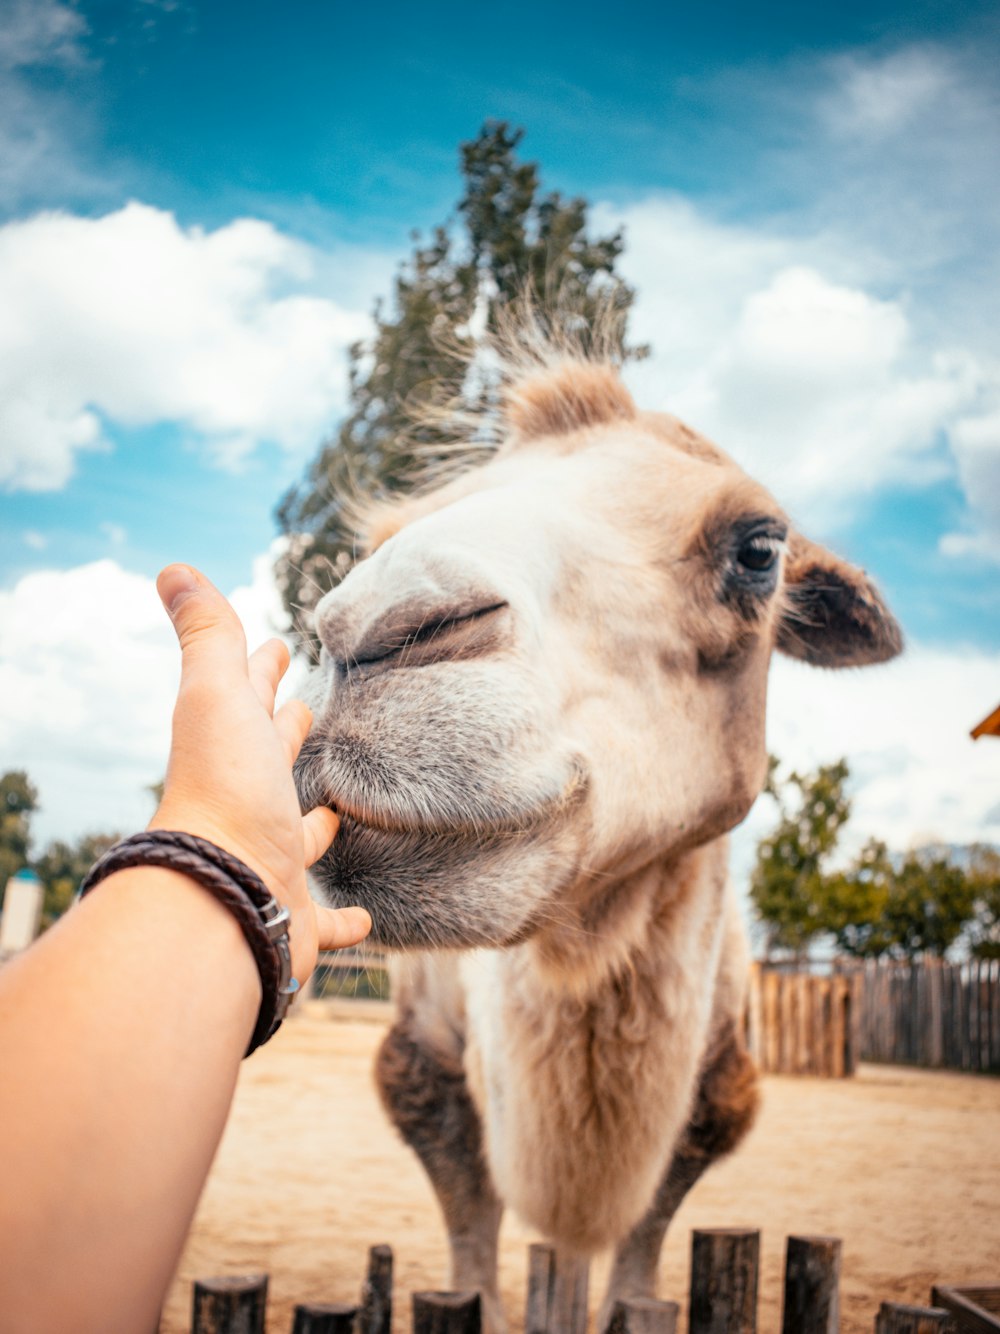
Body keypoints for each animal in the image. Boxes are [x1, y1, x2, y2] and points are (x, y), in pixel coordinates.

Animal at [293, 338, 906, 1328]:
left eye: (760, 548)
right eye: (385, 532)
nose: (367, 631)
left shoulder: (715, 1093)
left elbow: (644, 1246)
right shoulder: (424, 1070)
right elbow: (470, 1240)